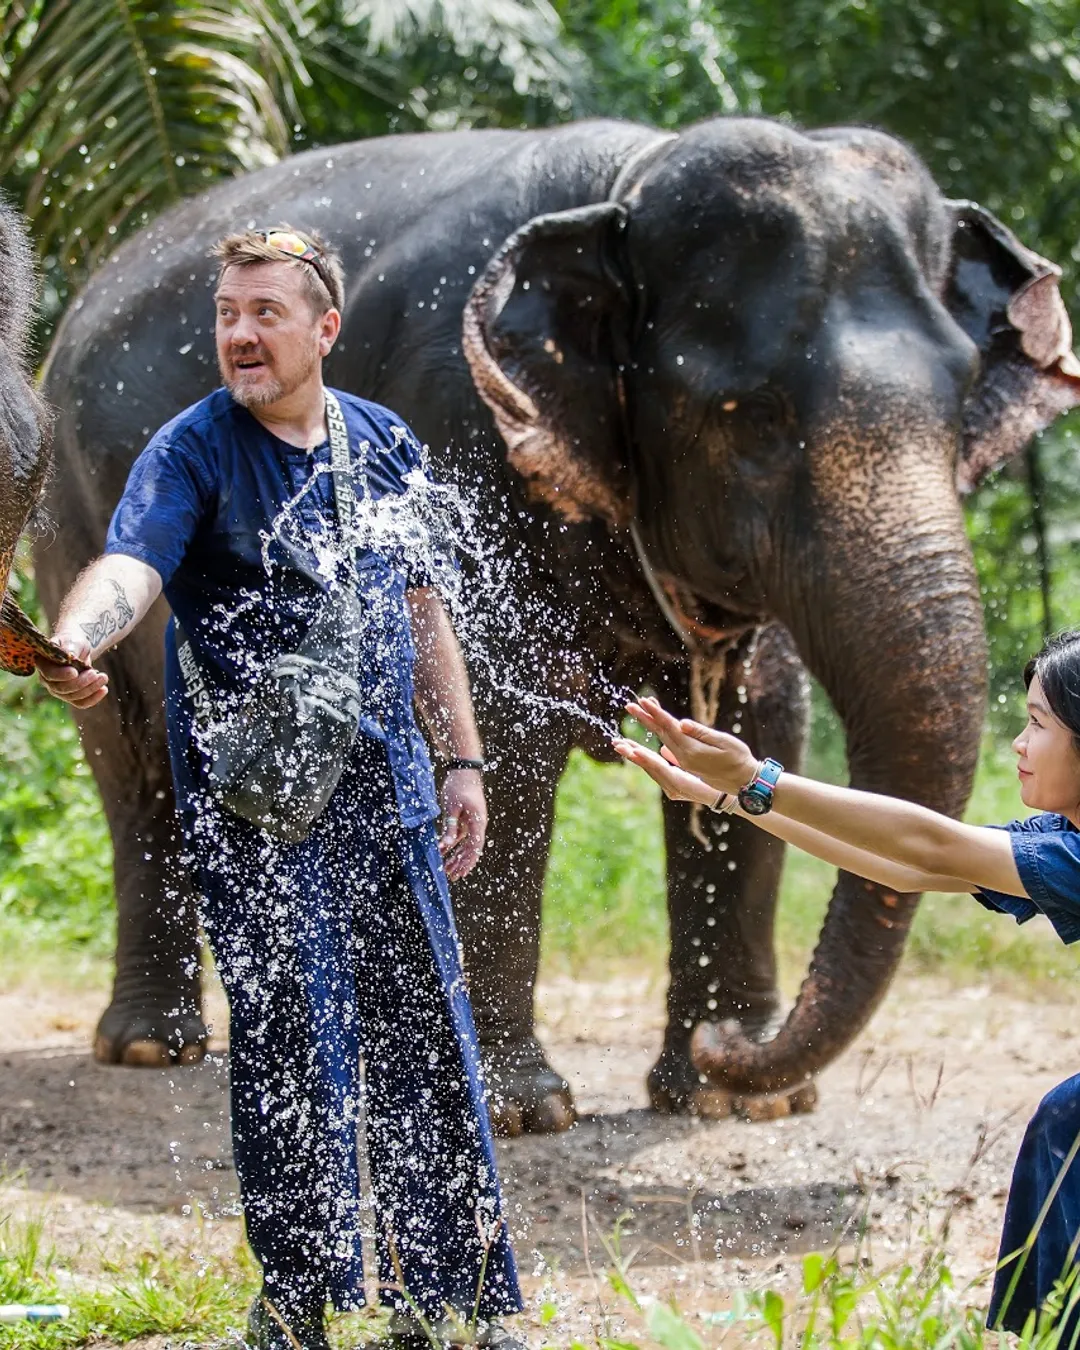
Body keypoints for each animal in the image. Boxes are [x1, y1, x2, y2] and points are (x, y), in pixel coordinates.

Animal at [33, 118, 1080, 1128]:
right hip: (72, 511)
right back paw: (153, 1049)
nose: (730, 1050)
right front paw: (532, 1109)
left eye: (960, 400)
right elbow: (499, 725)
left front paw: (737, 1100)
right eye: (754, 415)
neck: (629, 181)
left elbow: (764, 717)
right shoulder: (457, 418)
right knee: (132, 764)